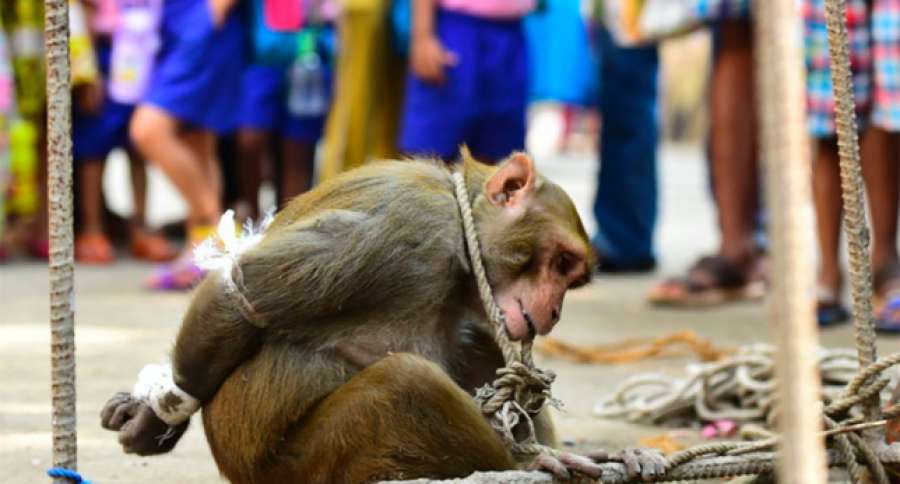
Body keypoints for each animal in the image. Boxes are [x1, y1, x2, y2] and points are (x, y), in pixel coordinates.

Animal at [100, 151, 666, 483]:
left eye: (572, 279)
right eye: (562, 262)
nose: (552, 310)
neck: (460, 244)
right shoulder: (404, 227)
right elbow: (237, 293)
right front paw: (157, 415)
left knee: (471, 341)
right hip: (306, 468)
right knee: (405, 382)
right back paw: (527, 463)